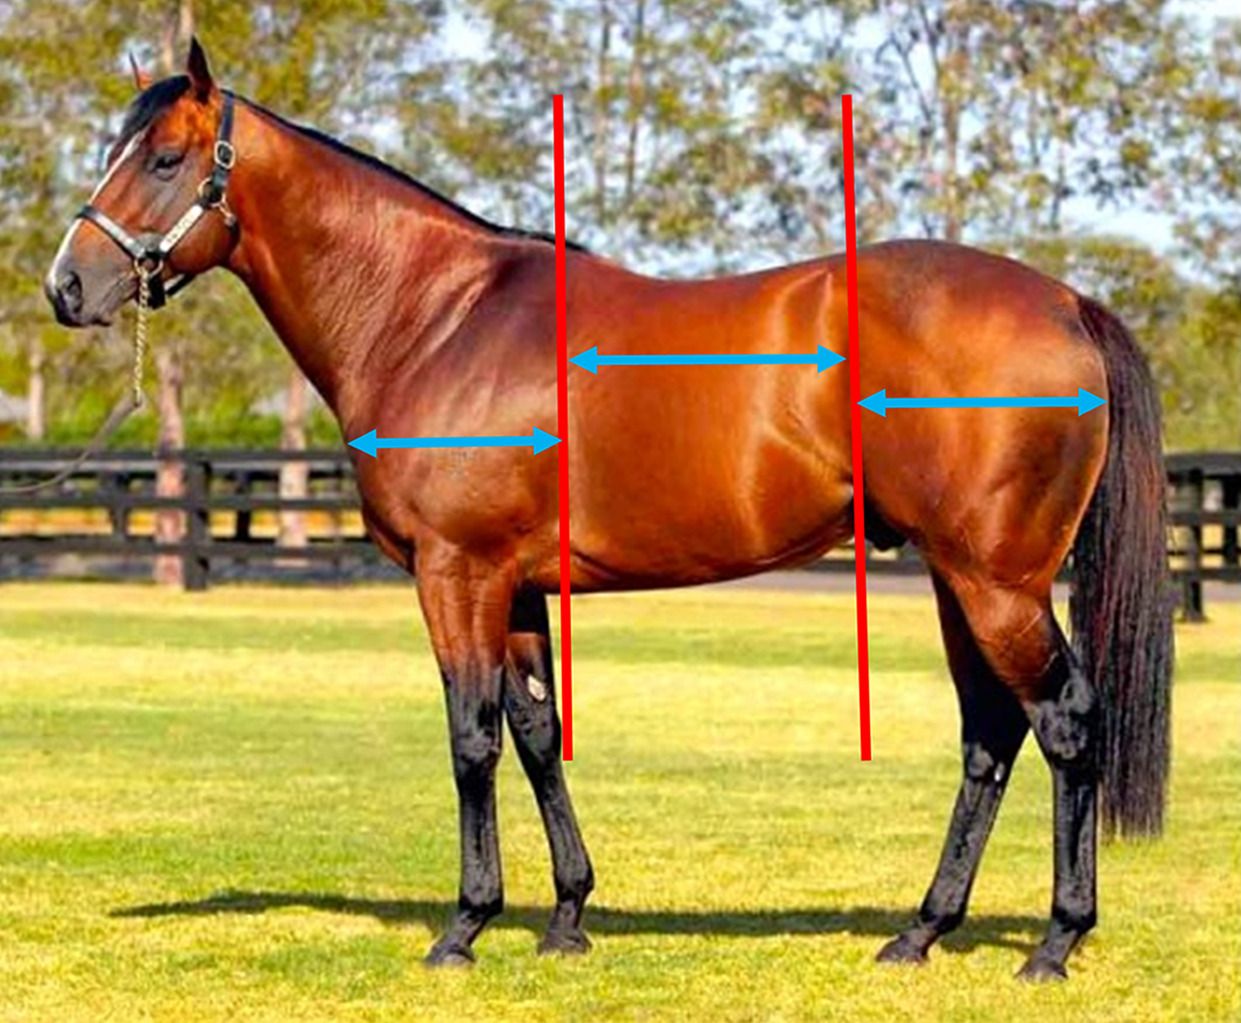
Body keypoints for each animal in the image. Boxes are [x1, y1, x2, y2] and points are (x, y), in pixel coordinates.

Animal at [44, 39, 1172, 980]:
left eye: (162, 160)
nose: (68, 286)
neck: (433, 318)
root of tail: (1065, 302)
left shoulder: (456, 572)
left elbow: (471, 740)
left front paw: (463, 928)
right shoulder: (515, 588)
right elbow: (538, 734)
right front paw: (565, 918)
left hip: (995, 584)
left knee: (1063, 722)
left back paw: (1053, 943)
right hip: (956, 579)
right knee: (991, 734)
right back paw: (920, 931)